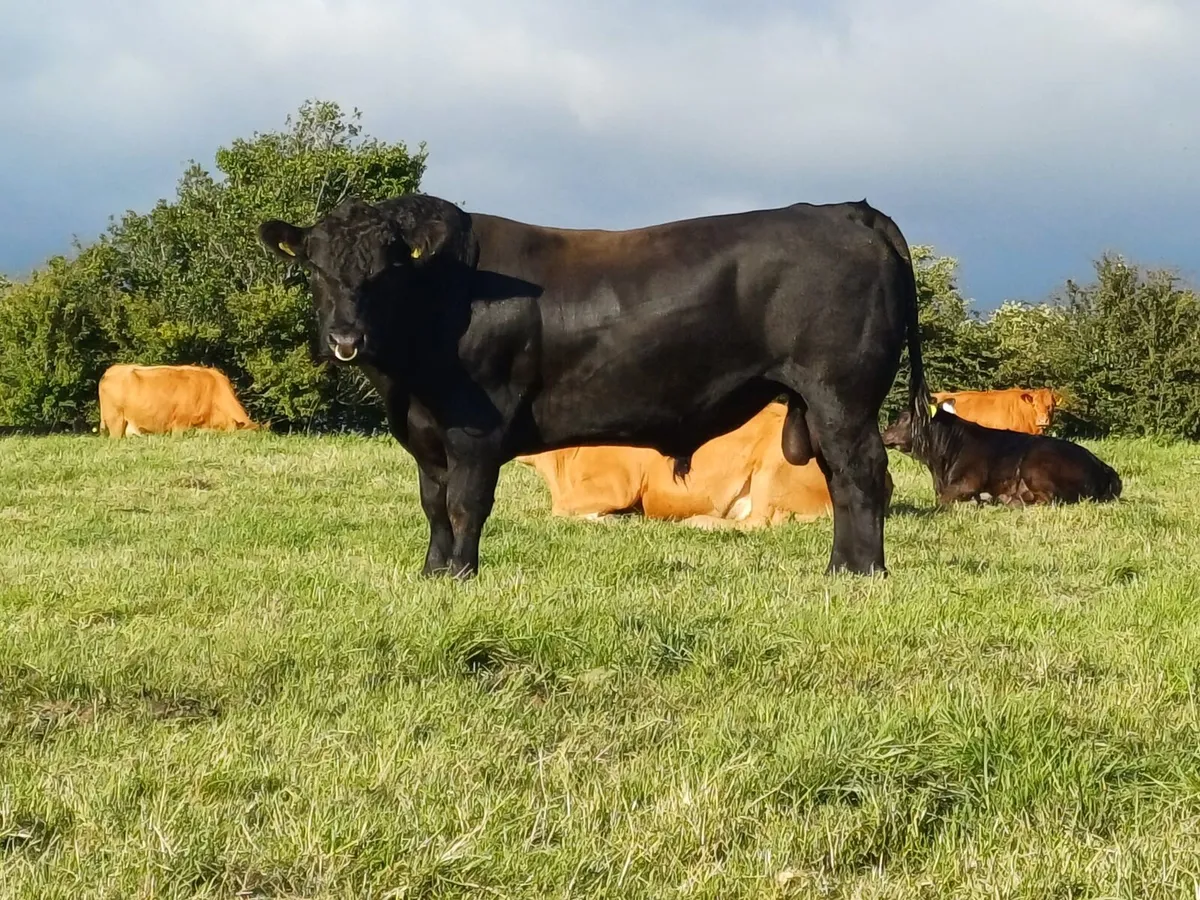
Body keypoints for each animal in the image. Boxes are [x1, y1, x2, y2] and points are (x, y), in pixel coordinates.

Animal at [881, 407, 1121, 507]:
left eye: (904, 419)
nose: (883, 433)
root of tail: (1102, 466)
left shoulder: (969, 480)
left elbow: (942, 499)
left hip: (1035, 465)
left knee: (1050, 498)